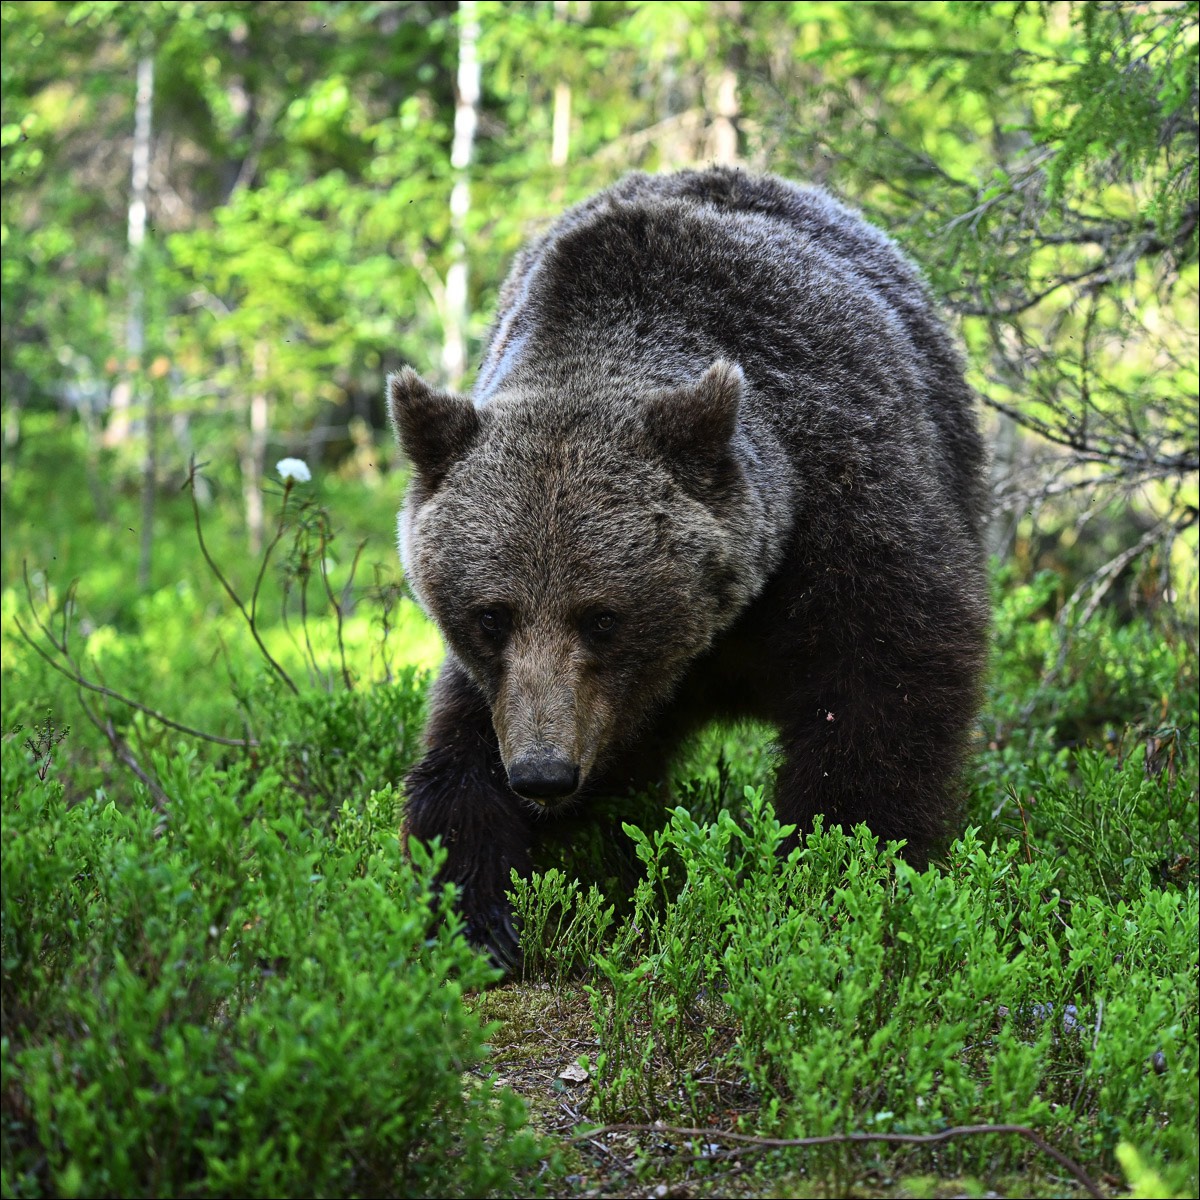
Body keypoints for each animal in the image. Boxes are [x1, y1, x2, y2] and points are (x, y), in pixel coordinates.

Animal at [388, 166, 988, 964]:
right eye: (491, 615)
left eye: (602, 616)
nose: (543, 774)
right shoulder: (527, 685)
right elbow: (460, 745)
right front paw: (475, 910)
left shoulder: (850, 507)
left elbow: (883, 689)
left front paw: (832, 870)